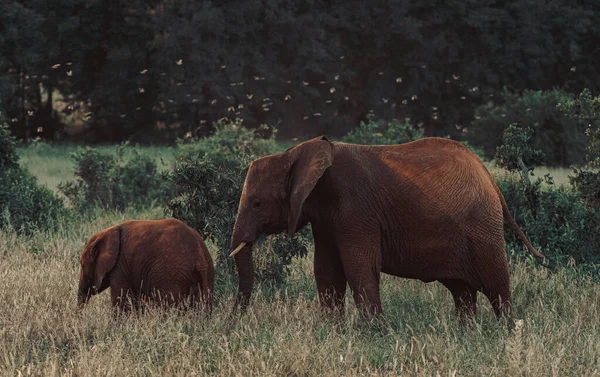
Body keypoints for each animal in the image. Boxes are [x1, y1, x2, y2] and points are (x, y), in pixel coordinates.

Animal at [77, 217, 213, 312]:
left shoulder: (120, 266)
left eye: (83, 265)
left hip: (172, 276)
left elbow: (122, 302)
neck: (107, 232)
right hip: (206, 273)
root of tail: (199, 254)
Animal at [230, 135, 544, 324]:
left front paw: (374, 333)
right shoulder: (325, 218)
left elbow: (359, 268)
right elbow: (326, 271)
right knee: (462, 291)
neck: (297, 153)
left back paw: (507, 332)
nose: (233, 322)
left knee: (496, 285)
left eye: (257, 204)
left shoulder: (357, 210)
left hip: (483, 226)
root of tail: (489, 176)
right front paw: (332, 331)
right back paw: (465, 334)